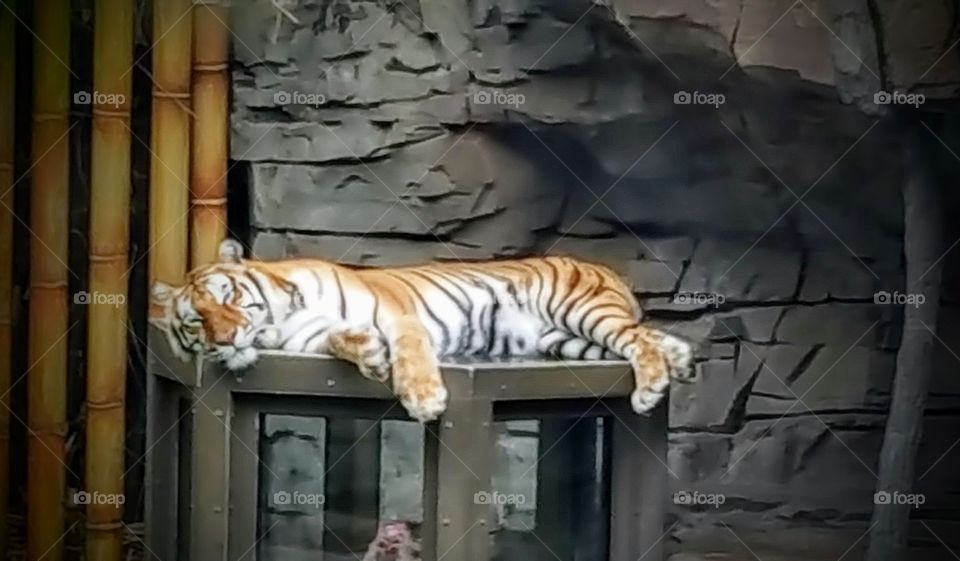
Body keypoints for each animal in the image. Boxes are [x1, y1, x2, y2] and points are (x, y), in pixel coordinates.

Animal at [148, 239, 694, 422]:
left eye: (227, 298)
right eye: (197, 320)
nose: (226, 340)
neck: (282, 320)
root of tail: (608, 271)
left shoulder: (397, 311)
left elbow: (411, 352)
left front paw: (426, 400)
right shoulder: (315, 336)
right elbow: (340, 338)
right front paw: (368, 353)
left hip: (579, 310)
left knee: (637, 337)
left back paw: (652, 388)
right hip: (564, 339)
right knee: (644, 336)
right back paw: (681, 360)